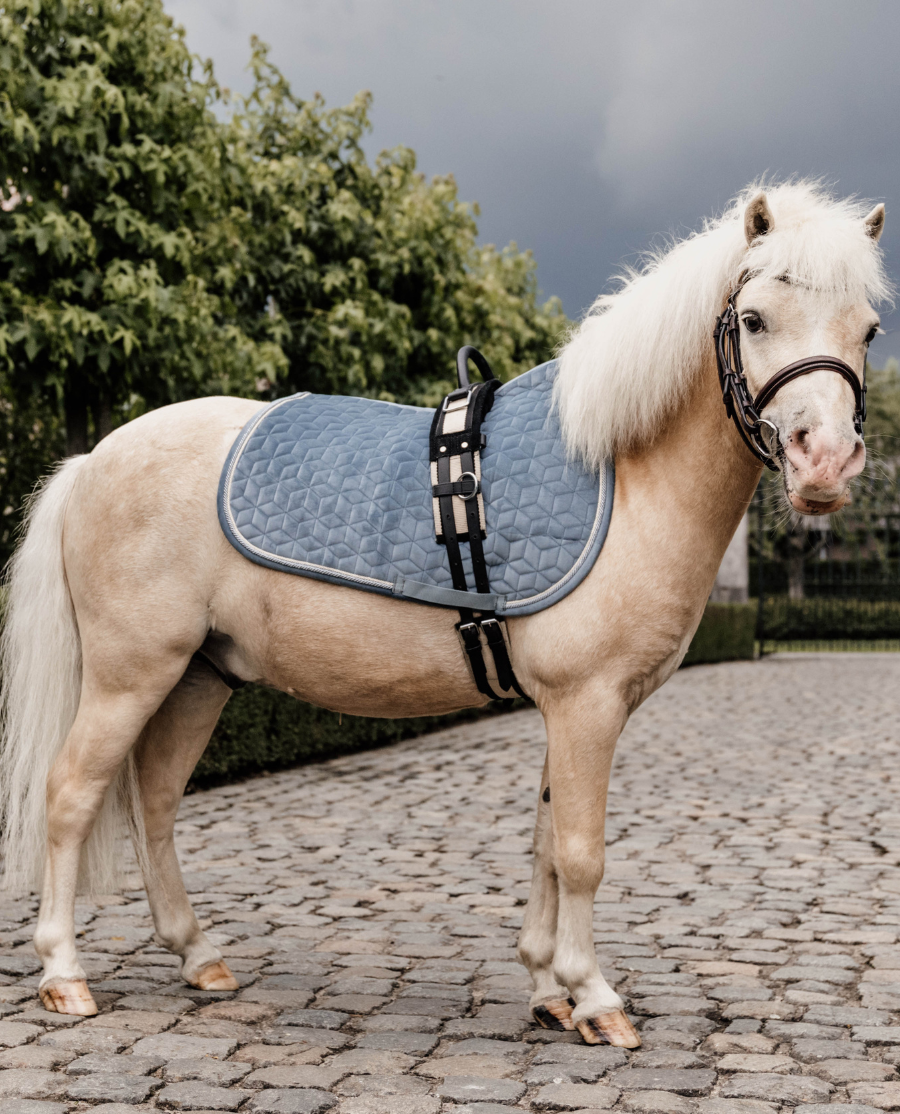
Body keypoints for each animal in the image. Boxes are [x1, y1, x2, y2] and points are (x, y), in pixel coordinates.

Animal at [0, 181, 888, 1047]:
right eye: (753, 318)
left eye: (870, 330)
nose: (825, 463)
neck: (623, 474)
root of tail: (92, 460)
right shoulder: (587, 703)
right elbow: (580, 851)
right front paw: (595, 998)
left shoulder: (567, 708)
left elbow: (545, 843)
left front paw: (547, 989)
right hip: (130, 674)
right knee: (71, 793)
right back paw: (64, 975)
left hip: (198, 678)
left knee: (154, 803)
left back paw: (198, 957)